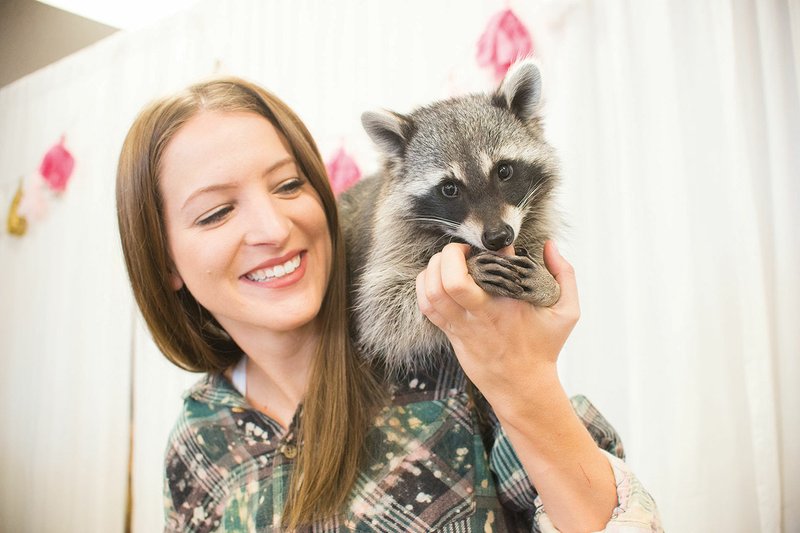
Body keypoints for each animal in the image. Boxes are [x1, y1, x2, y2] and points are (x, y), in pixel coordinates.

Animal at [340, 58, 560, 372]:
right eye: (449, 189)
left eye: (504, 171)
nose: (498, 237)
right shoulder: (389, 240)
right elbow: (383, 311)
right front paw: (470, 268)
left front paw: (550, 286)